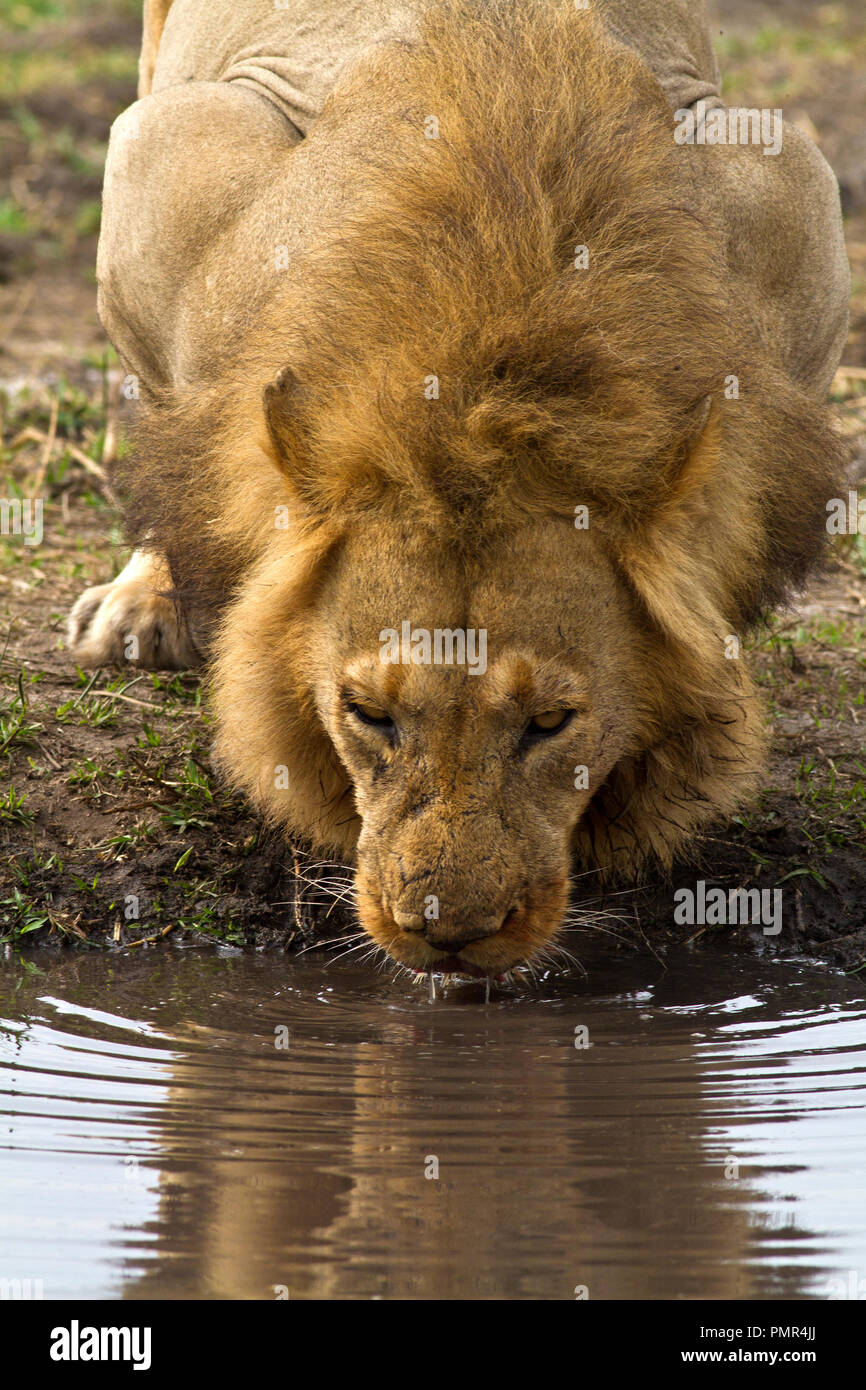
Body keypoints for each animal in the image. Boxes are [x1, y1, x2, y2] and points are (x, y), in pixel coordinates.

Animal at [69, 0, 856, 978]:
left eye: (552, 721)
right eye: (368, 714)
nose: (447, 934)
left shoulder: (791, 189)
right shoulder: (169, 156)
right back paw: (141, 609)